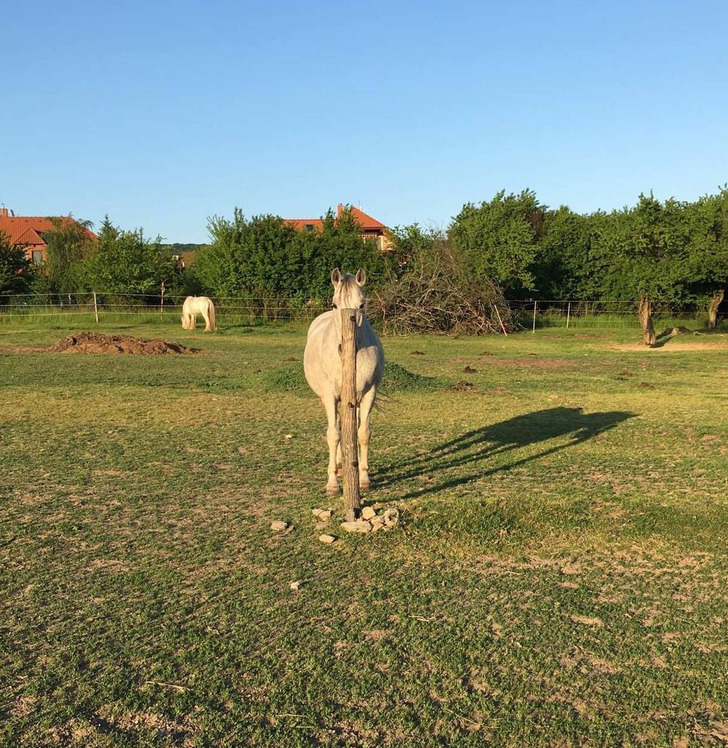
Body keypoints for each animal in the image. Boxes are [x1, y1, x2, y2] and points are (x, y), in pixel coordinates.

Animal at [302, 270, 384, 496]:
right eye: (334, 304)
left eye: (362, 304)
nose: (344, 347)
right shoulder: (330, 396)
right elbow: (333, 435)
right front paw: (332, 484)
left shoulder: (369, 393)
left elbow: (363, 433)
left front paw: (363, 479)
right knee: (337, 427)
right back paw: (338, 468)